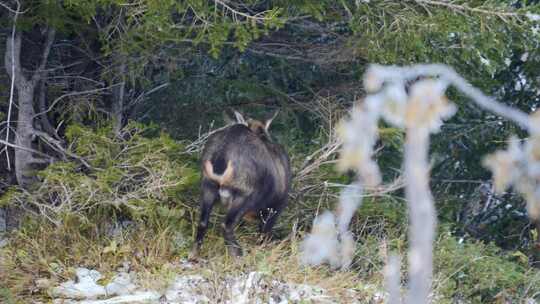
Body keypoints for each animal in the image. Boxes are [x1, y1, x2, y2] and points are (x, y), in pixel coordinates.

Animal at [190, 109, 292, 256]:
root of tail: (221, 155)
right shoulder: (276, 206)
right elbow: (264, 233)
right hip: (244, 193)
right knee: (226, 225)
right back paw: (239, 254)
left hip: (208, 185)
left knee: (203, 221)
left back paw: (193, 255)